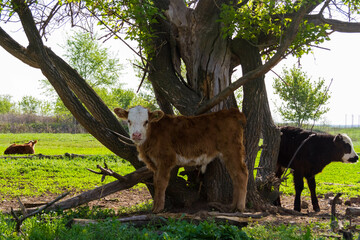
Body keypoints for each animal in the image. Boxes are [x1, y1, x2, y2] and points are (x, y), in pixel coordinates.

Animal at [114, 106, 249, 213]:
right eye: (129, 121)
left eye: (146, 121)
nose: (136, 135)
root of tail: (232, 112)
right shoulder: (155, 163)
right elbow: (156, 182)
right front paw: (154, 207)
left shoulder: (166, 159)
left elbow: (161, 183)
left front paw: (158, 209)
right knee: (235, 176)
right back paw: (232, 206)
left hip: (232, 150)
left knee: (242, 174)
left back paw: (240, 207)